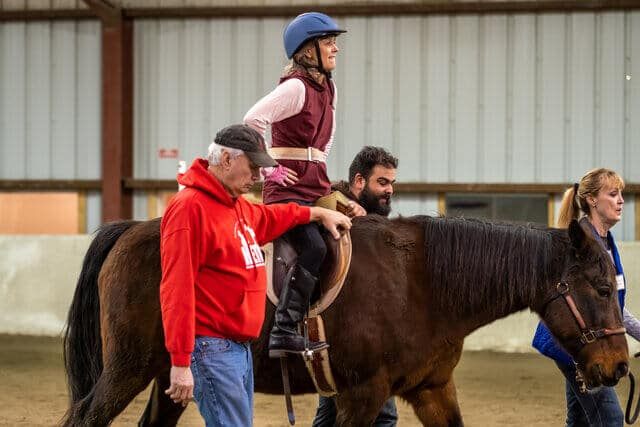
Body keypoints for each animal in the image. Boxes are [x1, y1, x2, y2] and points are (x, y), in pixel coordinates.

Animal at [62, 216, 628, 426]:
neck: (423, 283)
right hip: (127, 370)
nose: (620, 367)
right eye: (602, 290)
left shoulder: (432, 389)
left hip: (169, 375)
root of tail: (133, 229)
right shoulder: (361, 395)